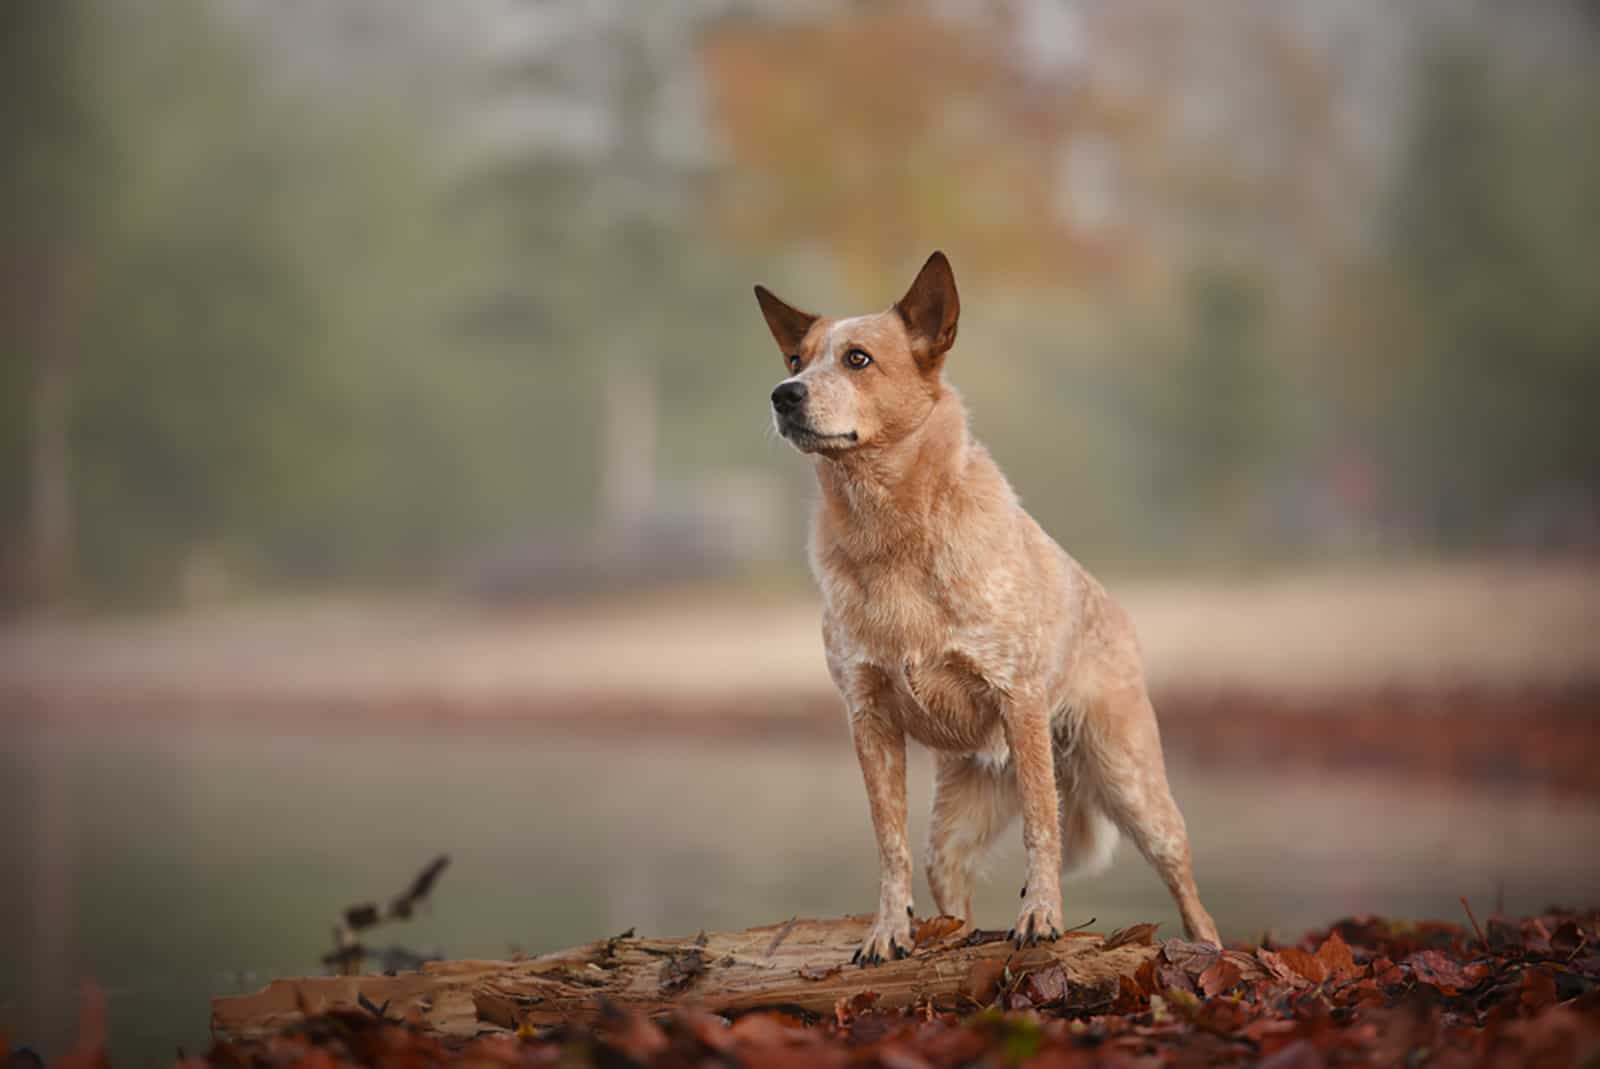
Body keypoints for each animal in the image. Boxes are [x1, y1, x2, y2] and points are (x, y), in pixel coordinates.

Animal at [755, 252, 1216, 966]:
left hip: (1132, 783)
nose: (784, 394)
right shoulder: (868, 718)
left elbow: (1041, 830)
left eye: (858, 359)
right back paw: (950, 939)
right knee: (951, 891)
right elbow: (887, 843)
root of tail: (1114, 606)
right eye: (796, 358)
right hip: (954, 824)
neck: (893, 533)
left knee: (1189, 890)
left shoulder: (1018, 699)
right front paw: (887, 934)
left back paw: (1209, 948)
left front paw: (1042, 918)